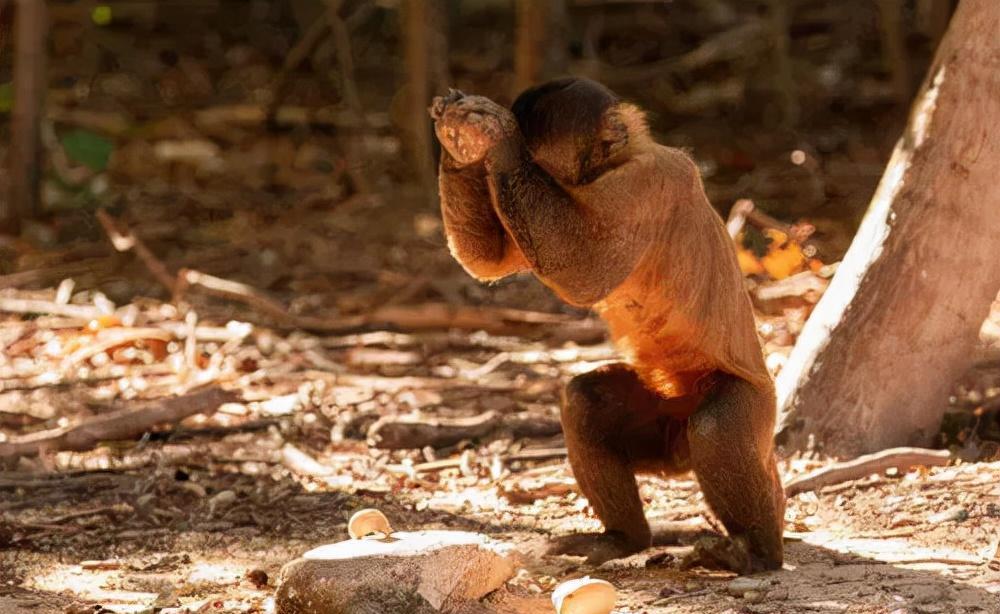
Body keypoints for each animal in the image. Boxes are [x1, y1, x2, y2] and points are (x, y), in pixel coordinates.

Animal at [426, 79, 784, 576]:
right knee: (584, 402)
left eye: (537, 165)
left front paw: (497, 140)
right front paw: (458, 143)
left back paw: (757, 551)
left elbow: (584, 271)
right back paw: (625, 538)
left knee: (715, 428)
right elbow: (490, 260)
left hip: (754, 408)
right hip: (666, 426)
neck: (616, 164)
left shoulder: (652, 183)